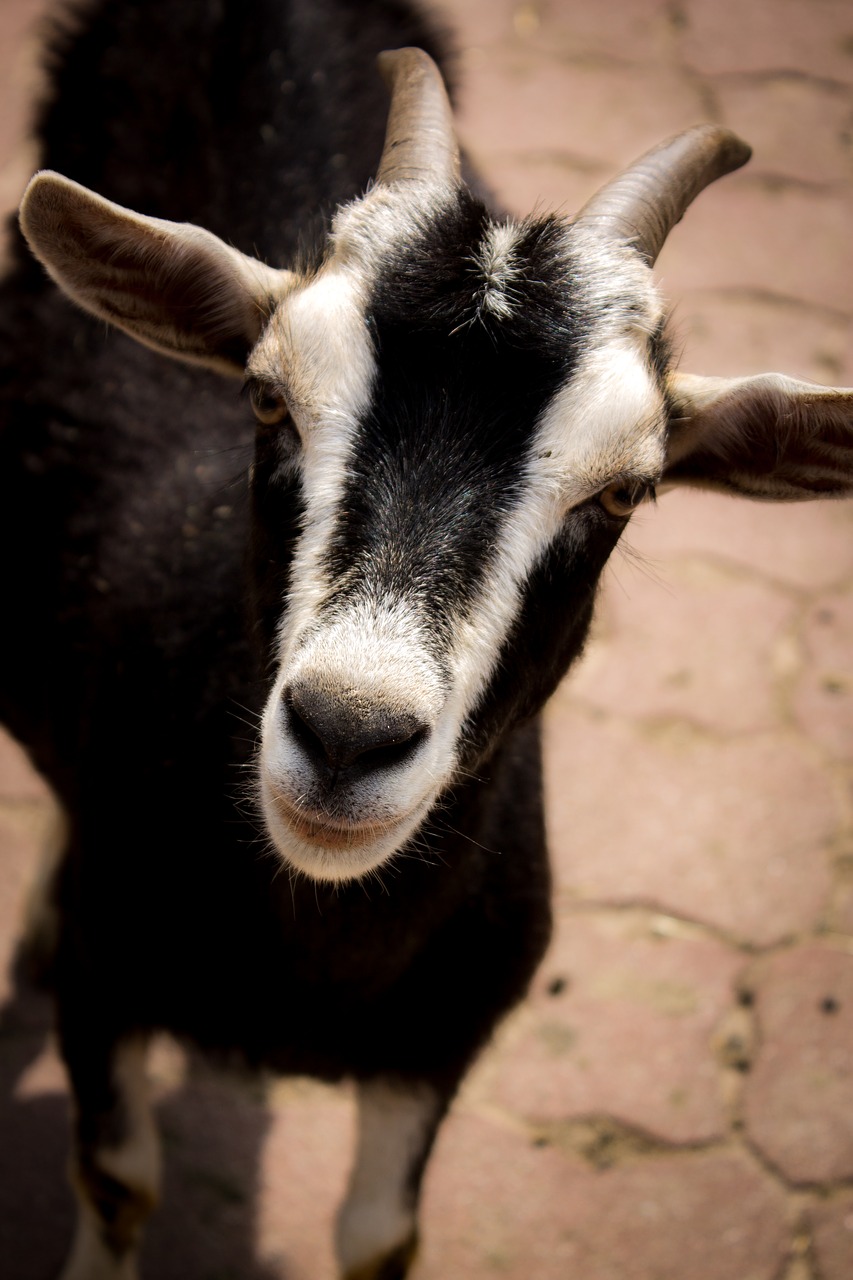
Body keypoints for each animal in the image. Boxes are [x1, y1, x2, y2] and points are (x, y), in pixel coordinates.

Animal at [1, 0, 850, 1274]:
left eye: (626, 491)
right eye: (266, 399)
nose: (348, 733)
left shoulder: (441, 1040)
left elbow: (380, 1233)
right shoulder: (107, 980)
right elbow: (117, 1178)